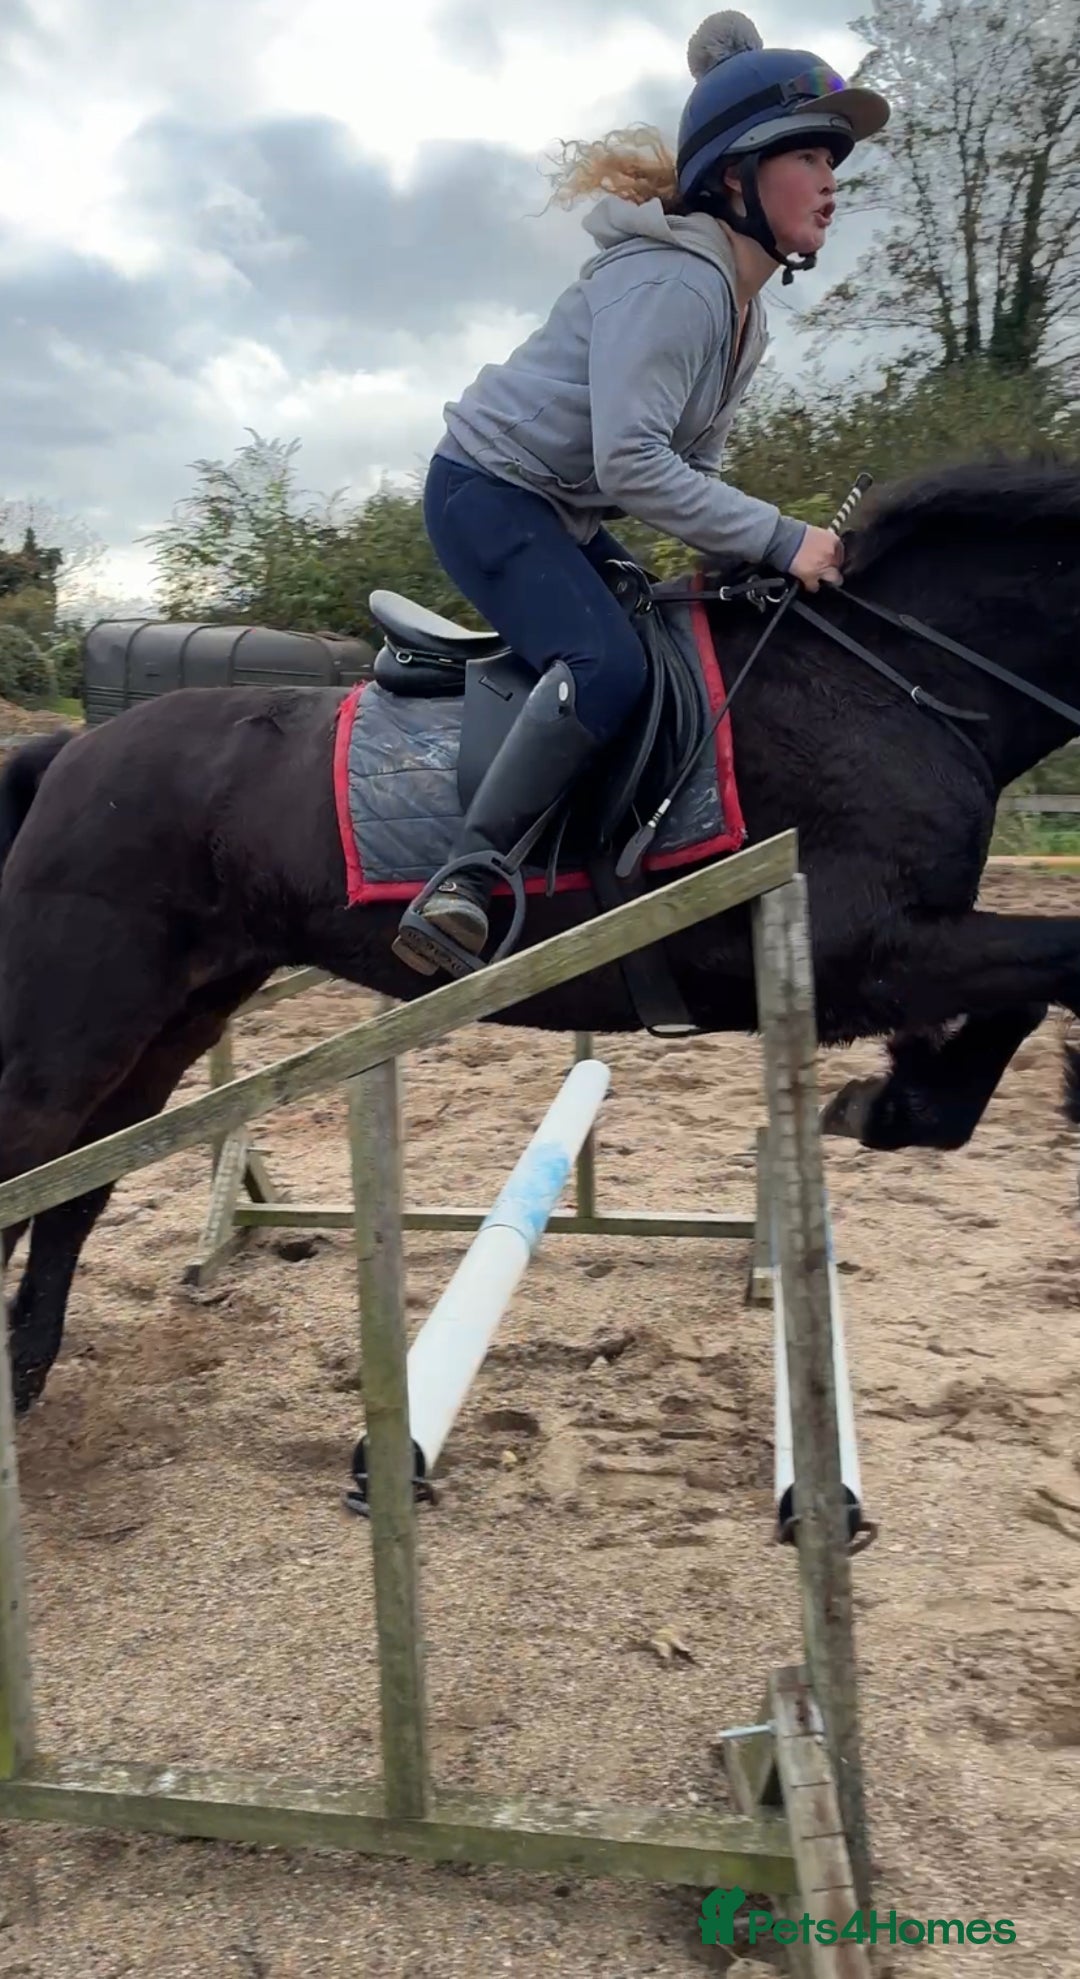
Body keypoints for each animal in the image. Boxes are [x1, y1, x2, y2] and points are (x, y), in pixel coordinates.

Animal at [2, 453, 1080, 1416]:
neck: (894, 678)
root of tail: (70, 754)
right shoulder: (867, 950)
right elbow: (1058, 962)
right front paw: (901, 1101)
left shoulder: (897, 948)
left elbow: (1031, 991)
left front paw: (900, 1099)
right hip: (81, 1027)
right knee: (36, 1167)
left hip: (174, 1021)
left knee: (72, 1191)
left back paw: (26, 1378)